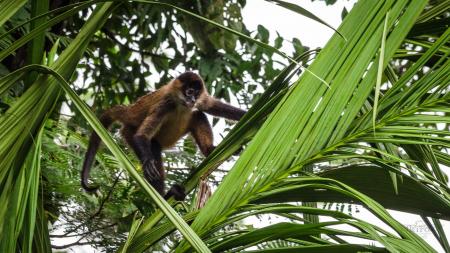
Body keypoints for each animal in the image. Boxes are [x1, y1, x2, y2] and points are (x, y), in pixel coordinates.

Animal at [82, 72, 248, 201]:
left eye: (196, 93)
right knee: (153, 144)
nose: (193, 100)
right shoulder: (165, 104)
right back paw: (164, 197)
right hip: (129, 131)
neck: (180, 103)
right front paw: (148, 161)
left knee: (197, 115)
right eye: (189, 92)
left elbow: (212, 106)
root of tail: (129, 112)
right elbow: (141, 136)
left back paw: (209, 150)